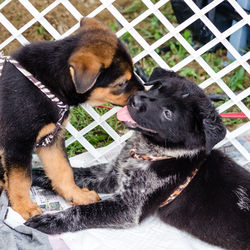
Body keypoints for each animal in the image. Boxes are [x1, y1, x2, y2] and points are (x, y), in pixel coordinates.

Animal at [0, 17, 145, 219]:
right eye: (121, 83)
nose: (146, 93)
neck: (48, 83)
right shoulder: (17, 144)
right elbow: (21, 180)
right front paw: (24, 207)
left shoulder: (51, 140)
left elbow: (63, 170)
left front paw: (76, 195)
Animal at [26, 68, 249, 250]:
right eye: (158, 87)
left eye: (168, 114)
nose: (135, 99)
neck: (150, 152)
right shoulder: (110, 176)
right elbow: (74, 174)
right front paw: (35, 176)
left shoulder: (127, 208)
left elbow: (82, 212)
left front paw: (49, 221)